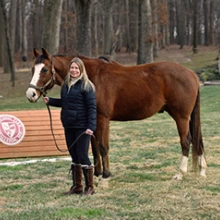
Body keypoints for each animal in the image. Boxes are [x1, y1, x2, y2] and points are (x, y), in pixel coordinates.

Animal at [25, 47, 206, 180]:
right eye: (33, 69)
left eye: (45, 70)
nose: (31, 94)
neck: (91, 77)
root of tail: (191, 74)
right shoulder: (91, 121)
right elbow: (94, 147)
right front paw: (96, 173)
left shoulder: (103, 119)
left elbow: (103, 146)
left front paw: (106, 174)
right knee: (197, 140)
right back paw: (202, 170)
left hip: (181, 117)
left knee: (186, 141)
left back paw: (179, 174)